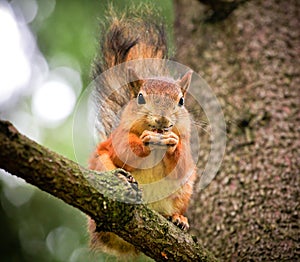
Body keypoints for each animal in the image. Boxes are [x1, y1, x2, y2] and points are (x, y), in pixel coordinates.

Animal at [88, 5, 196, 258]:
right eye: (140, 97)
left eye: (181, 101)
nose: (162, 119)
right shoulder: (116, 140)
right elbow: (124, 149)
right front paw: (144, 140)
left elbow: (182, 164)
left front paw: (172, 141)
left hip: (183, 191)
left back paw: (178, 219)